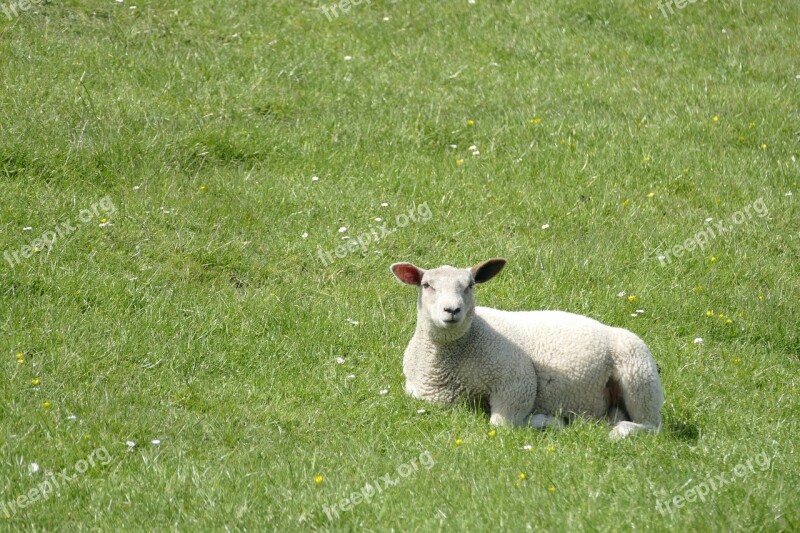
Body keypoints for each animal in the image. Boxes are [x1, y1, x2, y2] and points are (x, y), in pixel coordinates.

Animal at [392, 256, 664, 438]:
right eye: (426, 285)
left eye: (470, 285)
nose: (452, 310)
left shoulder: (516, 380)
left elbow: (502, 425)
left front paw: (546, 420)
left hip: (639, 372)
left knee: (651, 426)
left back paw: (619, 431)